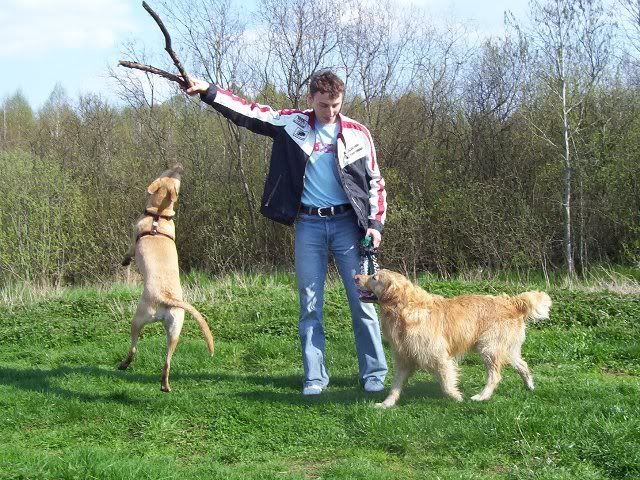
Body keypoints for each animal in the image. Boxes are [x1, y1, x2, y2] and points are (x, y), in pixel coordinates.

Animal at [119, 164, 214, 392]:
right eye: (170, 173)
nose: (179, 165)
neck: (158, 216)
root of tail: (167, 299)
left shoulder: (133, 240)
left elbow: (129, 251)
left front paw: (125, 262)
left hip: (138, 318)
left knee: (133, 348)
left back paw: (124, 364)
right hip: (175, 329)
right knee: (167, 361)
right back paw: (165, 385)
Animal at [354, 269, 551, 407]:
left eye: (374, 277)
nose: (355, 276)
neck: (405, 309)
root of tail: (511, 302)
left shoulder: (440, 357)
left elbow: (446, 383)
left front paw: (457, 398)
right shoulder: (404, 358)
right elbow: (395, 385)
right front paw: (386, 404)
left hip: (489, 348)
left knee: (495, 376)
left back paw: (482, 396)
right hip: (507, 349)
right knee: (523, 365)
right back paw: (530, 386)